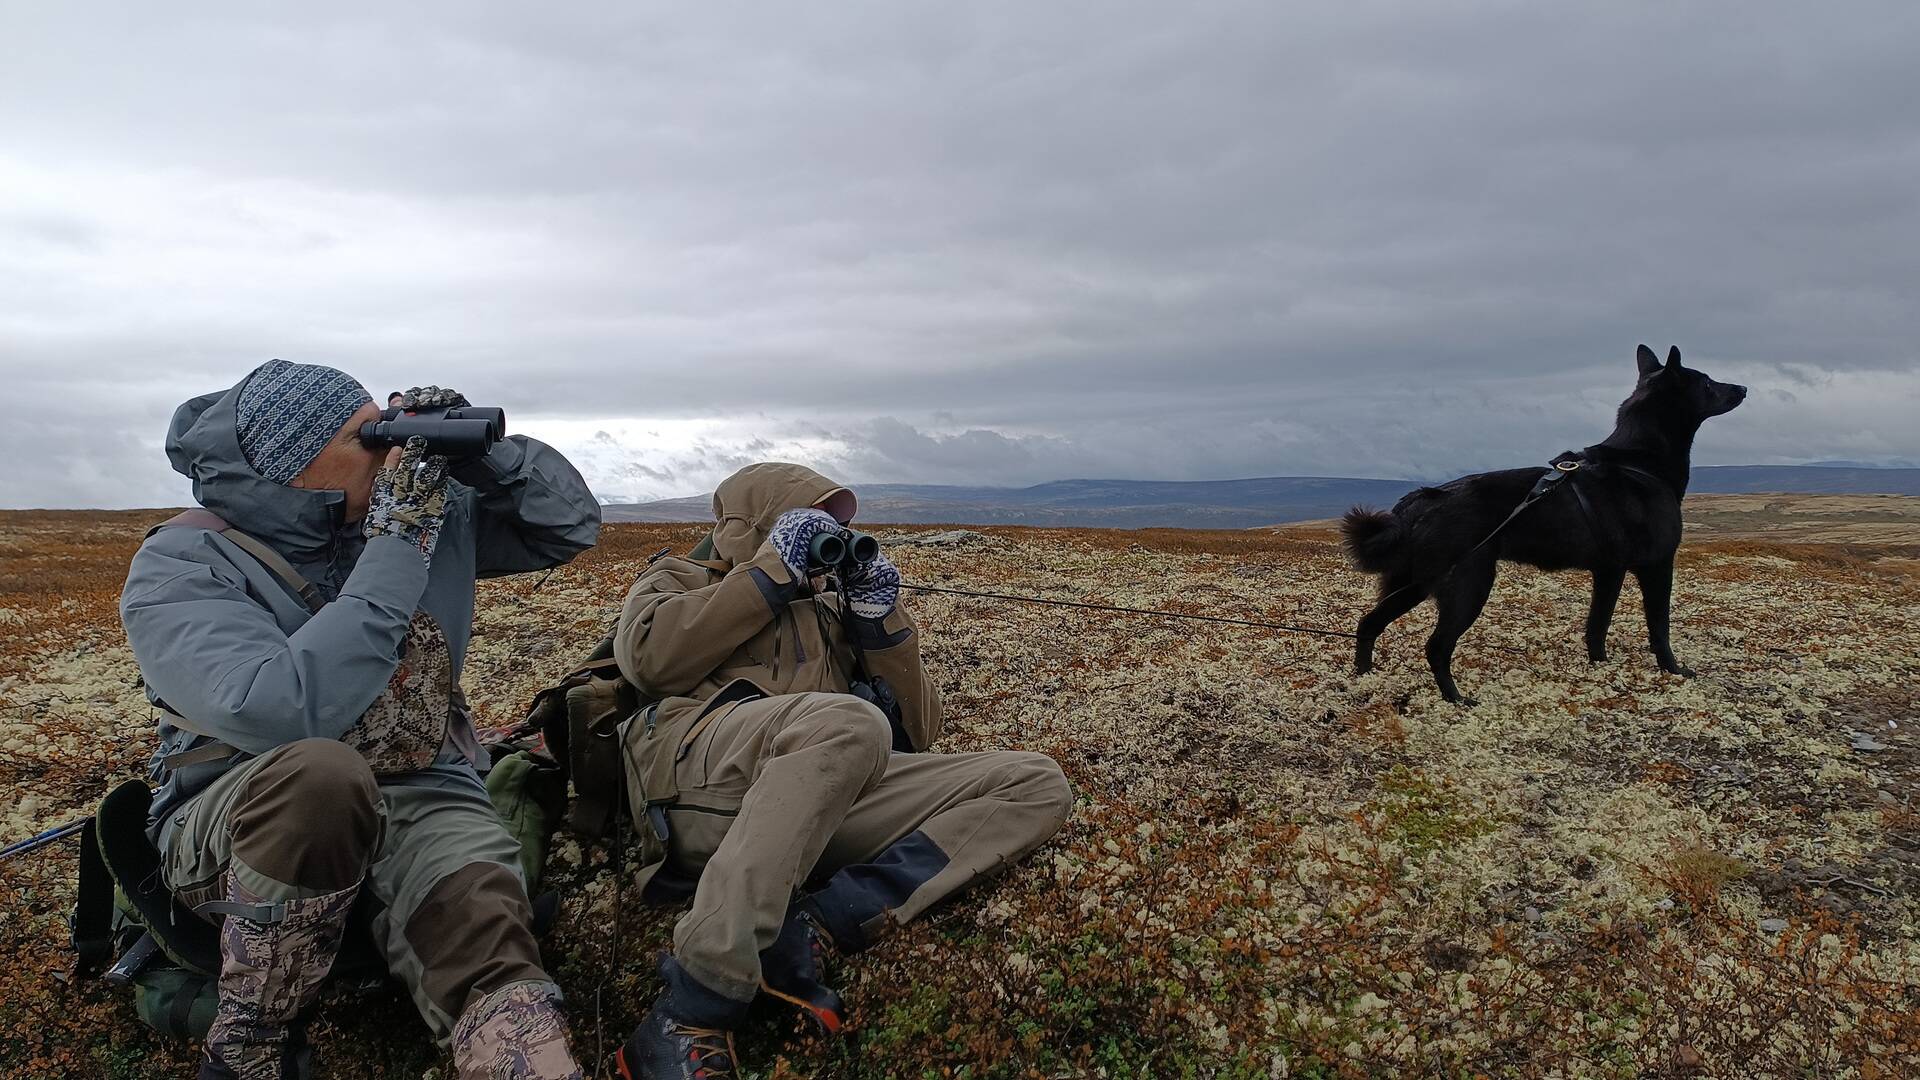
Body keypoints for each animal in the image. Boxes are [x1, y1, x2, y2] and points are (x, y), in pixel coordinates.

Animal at [1344, 340, 1751, 703]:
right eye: (1708, 383)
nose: (1744, 388)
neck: (1640, 463)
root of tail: (1420, 500)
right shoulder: (1657, 566)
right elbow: (1660, 628)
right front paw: (1674, 669)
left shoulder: (1609, 572)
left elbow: (1597, 626)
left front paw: (1599, 667)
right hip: (1468, 585)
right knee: (1436, 646)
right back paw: (1456, 698)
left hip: (1411, 583)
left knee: (1368, 623)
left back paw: (1363, 679)